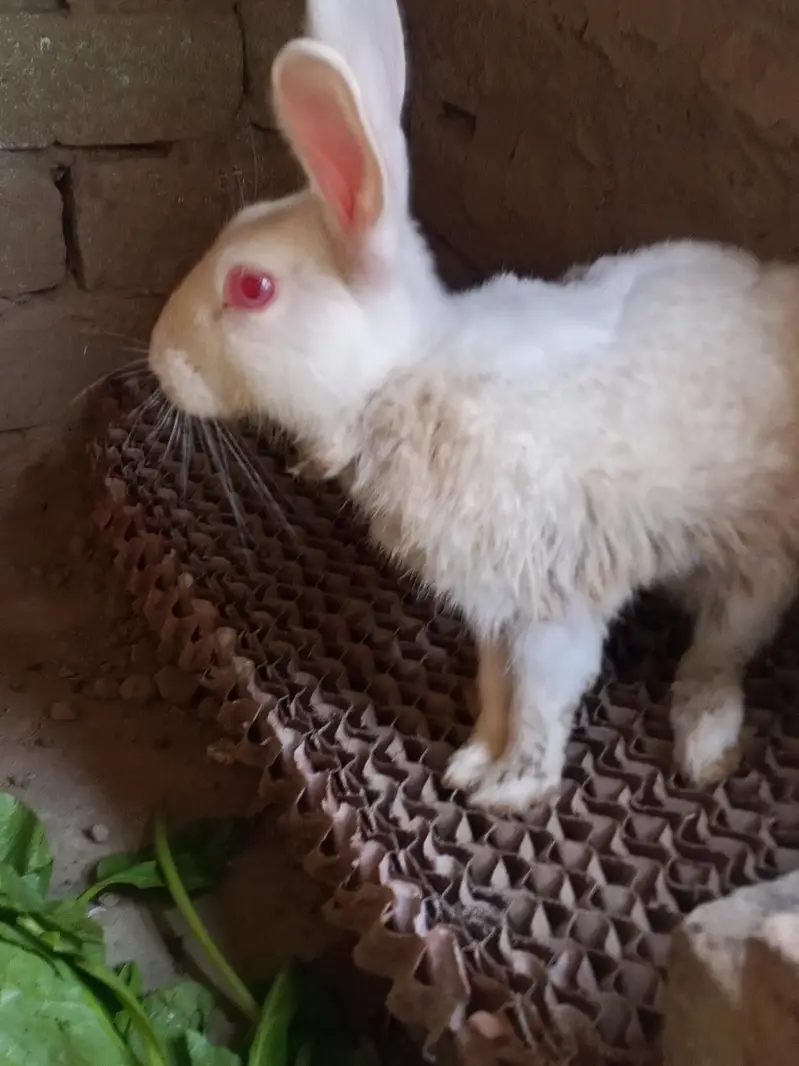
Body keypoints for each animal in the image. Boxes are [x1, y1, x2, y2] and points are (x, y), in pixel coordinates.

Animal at [148, 0, 799, 812]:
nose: (158, 359)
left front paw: (511, 789)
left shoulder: (552, 603)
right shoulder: (491, 606)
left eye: (252, 288)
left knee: (720, 652)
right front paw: (471, 760)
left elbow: (542, 700)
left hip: (754, 559)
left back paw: (705, 743)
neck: (402, 376)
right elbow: (497, 685)